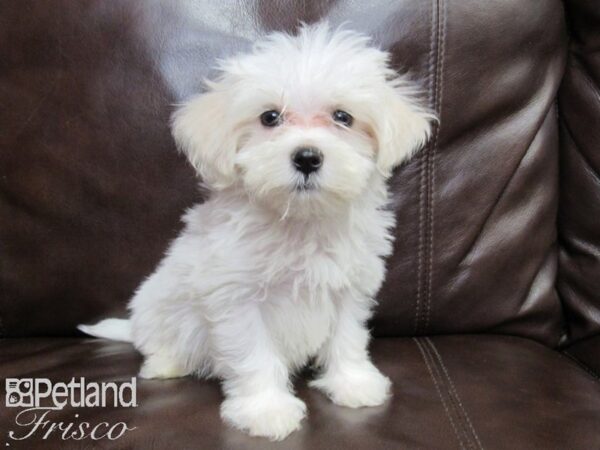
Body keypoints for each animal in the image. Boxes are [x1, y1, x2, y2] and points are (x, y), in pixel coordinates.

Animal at [82, 22, 434, 442]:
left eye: (343, 117)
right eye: (269, 117)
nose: (307, 157)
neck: (300, 221)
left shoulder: (349, 289)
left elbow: (348, 338)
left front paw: (353, 383)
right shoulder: (238, 299)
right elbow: (254, 355)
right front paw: (267, 410)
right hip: (156, 307)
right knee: (157, 342)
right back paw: (166, 364)